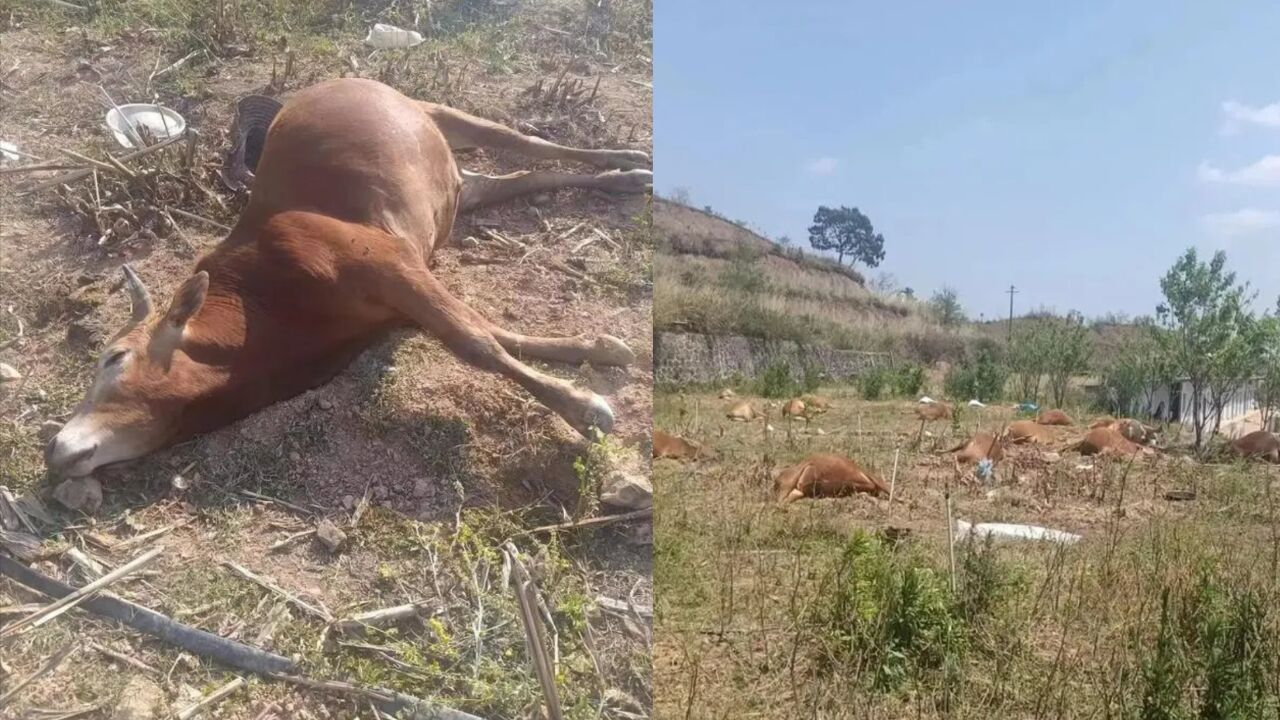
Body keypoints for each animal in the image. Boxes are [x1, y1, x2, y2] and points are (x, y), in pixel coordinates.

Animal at [46, 77, 655, 476]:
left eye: (114, 357)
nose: (53, 450)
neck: (261, 303)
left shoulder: (389, 263)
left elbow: (476, 342)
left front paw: (583, 407)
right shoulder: (399, 296)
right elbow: (491, 331)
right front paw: (598, 349)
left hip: (439, 111)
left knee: (531, 144)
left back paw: (628, 160)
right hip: (456, 184)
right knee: (515, 177)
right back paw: (624, 178)